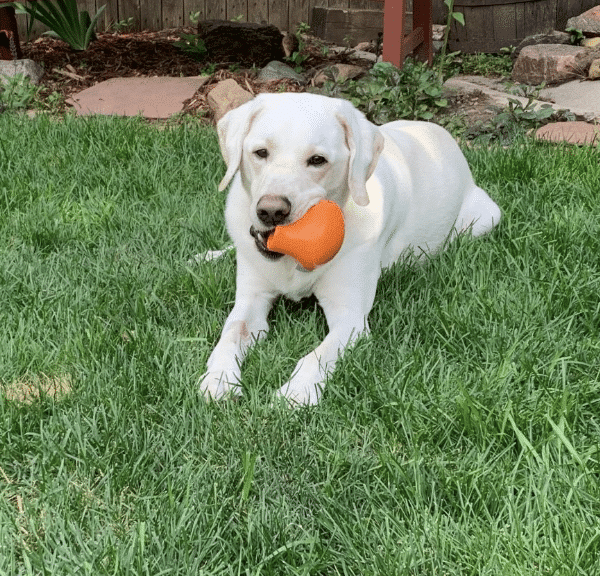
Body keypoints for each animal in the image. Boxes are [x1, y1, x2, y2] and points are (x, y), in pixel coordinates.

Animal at [199, 93, 500, 404]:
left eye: (317, 160)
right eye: (260, 153)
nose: (271, 211)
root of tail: (441, 133)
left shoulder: (351, 318)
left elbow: (317, 356)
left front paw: (295, 394)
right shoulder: (251, 300)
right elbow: (230, 334)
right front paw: (218, 380)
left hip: (485, 218)